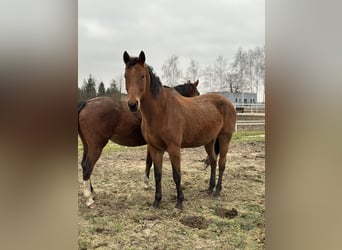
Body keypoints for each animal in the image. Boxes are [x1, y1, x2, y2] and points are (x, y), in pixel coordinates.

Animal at [123, 50, 238, 209]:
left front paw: (179, 202)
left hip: (224, 138)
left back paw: (217, 191)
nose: (132, 104)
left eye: (142, 76)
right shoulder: (154, 148)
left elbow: (176, 174)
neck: (162, 111)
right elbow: (157, 174)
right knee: (214, 161)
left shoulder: (174, 148)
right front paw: (157, 201)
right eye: (126, 76)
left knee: (221, 163)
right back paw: (210, 188)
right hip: (209, 141)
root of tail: (229, 103)